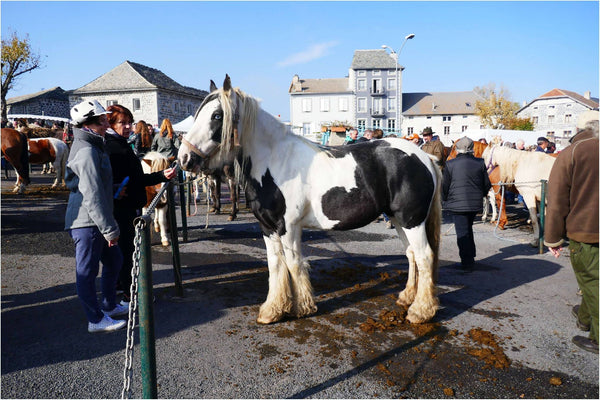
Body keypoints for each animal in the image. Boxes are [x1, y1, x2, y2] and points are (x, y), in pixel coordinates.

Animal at [176, 76, 442, 324]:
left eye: (217, 115)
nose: (185, 158)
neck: (276, 161)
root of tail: (424, 158)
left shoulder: (288, 227)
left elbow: (293, 263)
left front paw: (301, 308)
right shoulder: (267, 227)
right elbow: (275, 265)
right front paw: (272, 311)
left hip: (412, 221)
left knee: (424, 256)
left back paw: (420, 311)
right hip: (398, 220)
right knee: (411, 253)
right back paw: (407, 297)